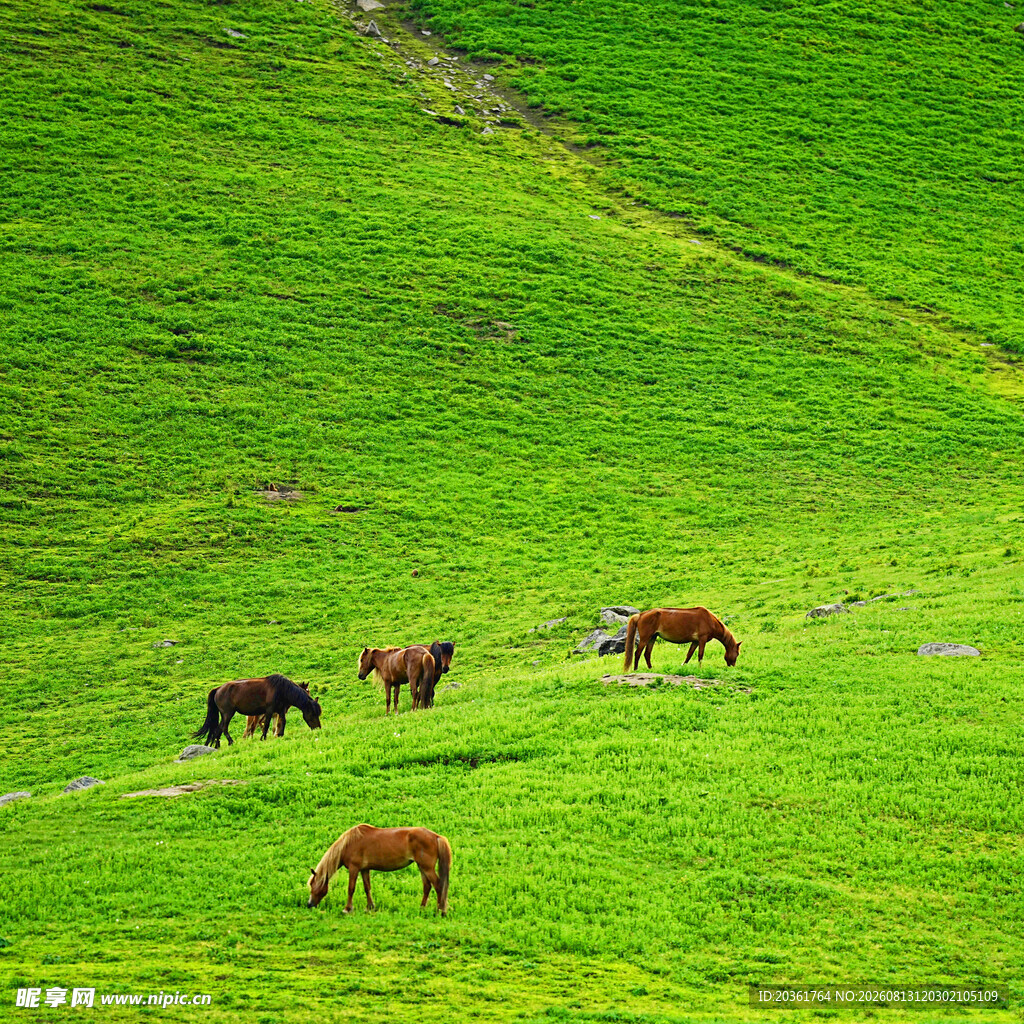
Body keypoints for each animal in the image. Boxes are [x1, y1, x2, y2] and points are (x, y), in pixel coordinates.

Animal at [193, 674, 322, 748]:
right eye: (313, 714)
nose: (318, 728)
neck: (281, 689)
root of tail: (218, 689)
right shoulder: (269, 710)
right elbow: (267, 725)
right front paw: (263, 737)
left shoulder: (280, 710)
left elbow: (282, 722)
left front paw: (280, 735)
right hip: (228, 714)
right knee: (224, 728)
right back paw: (230, 742)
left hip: (225, 715)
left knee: (219, 729)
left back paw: (217, 745)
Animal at [307, 824, 452, 916]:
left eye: (313, 886)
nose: (309, 905)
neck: (349, 843)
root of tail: (436, 836)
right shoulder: (364, 869)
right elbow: (367, 888)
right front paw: (370, 907)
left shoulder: (354, 868)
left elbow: (351, 888)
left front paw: (347, 909)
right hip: (422, 867)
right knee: (427, 886)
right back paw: (422, 908)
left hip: (427, 868)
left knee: (438, 886)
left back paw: (440, 911)